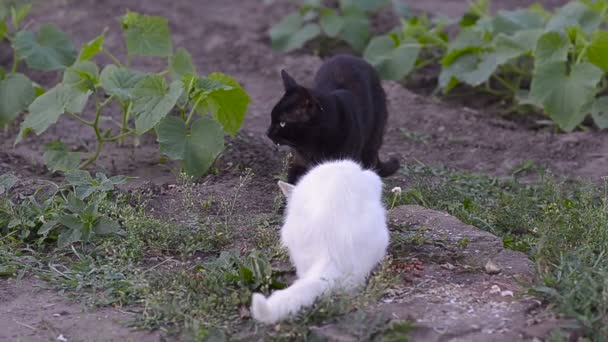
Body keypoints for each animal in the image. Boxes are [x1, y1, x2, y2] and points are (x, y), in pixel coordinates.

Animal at [266, 54, 400, 184]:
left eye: (282, 123)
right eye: (271, 118)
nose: (267, 132)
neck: (313, 145)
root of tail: (351, 56)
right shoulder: (299, 163)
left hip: (371, 143)